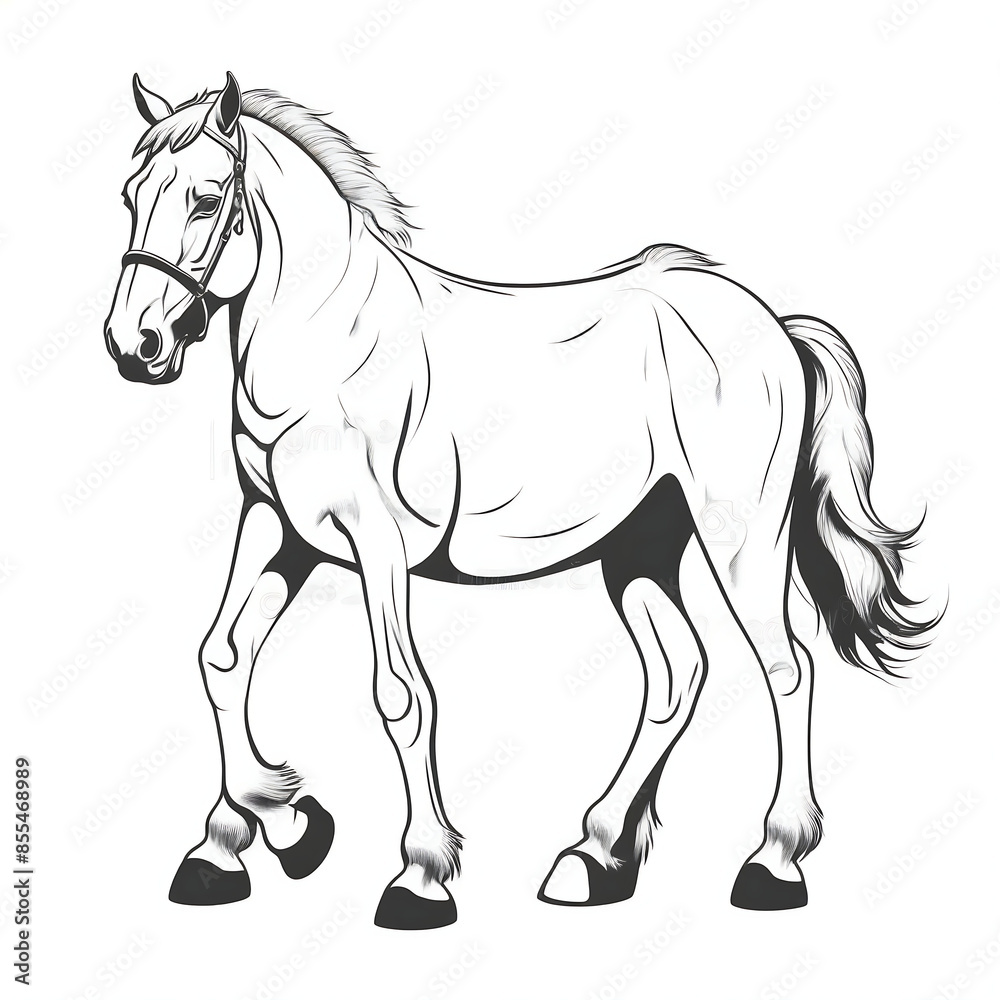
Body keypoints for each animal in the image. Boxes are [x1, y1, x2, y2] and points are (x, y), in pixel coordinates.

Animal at [104, 72, 934, 929]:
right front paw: (253, 837)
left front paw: (415, 874)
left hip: (740, 537)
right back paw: (592, 858)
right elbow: (221, 659)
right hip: (641, 547)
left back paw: (773, 863)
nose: (134, 346)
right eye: (131, 195)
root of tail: (772, 325)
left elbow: (401, 696)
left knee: (786, 668)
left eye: (206, 200)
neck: (330, 345)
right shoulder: (279, 529)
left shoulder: (376, 543)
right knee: (678, 677)